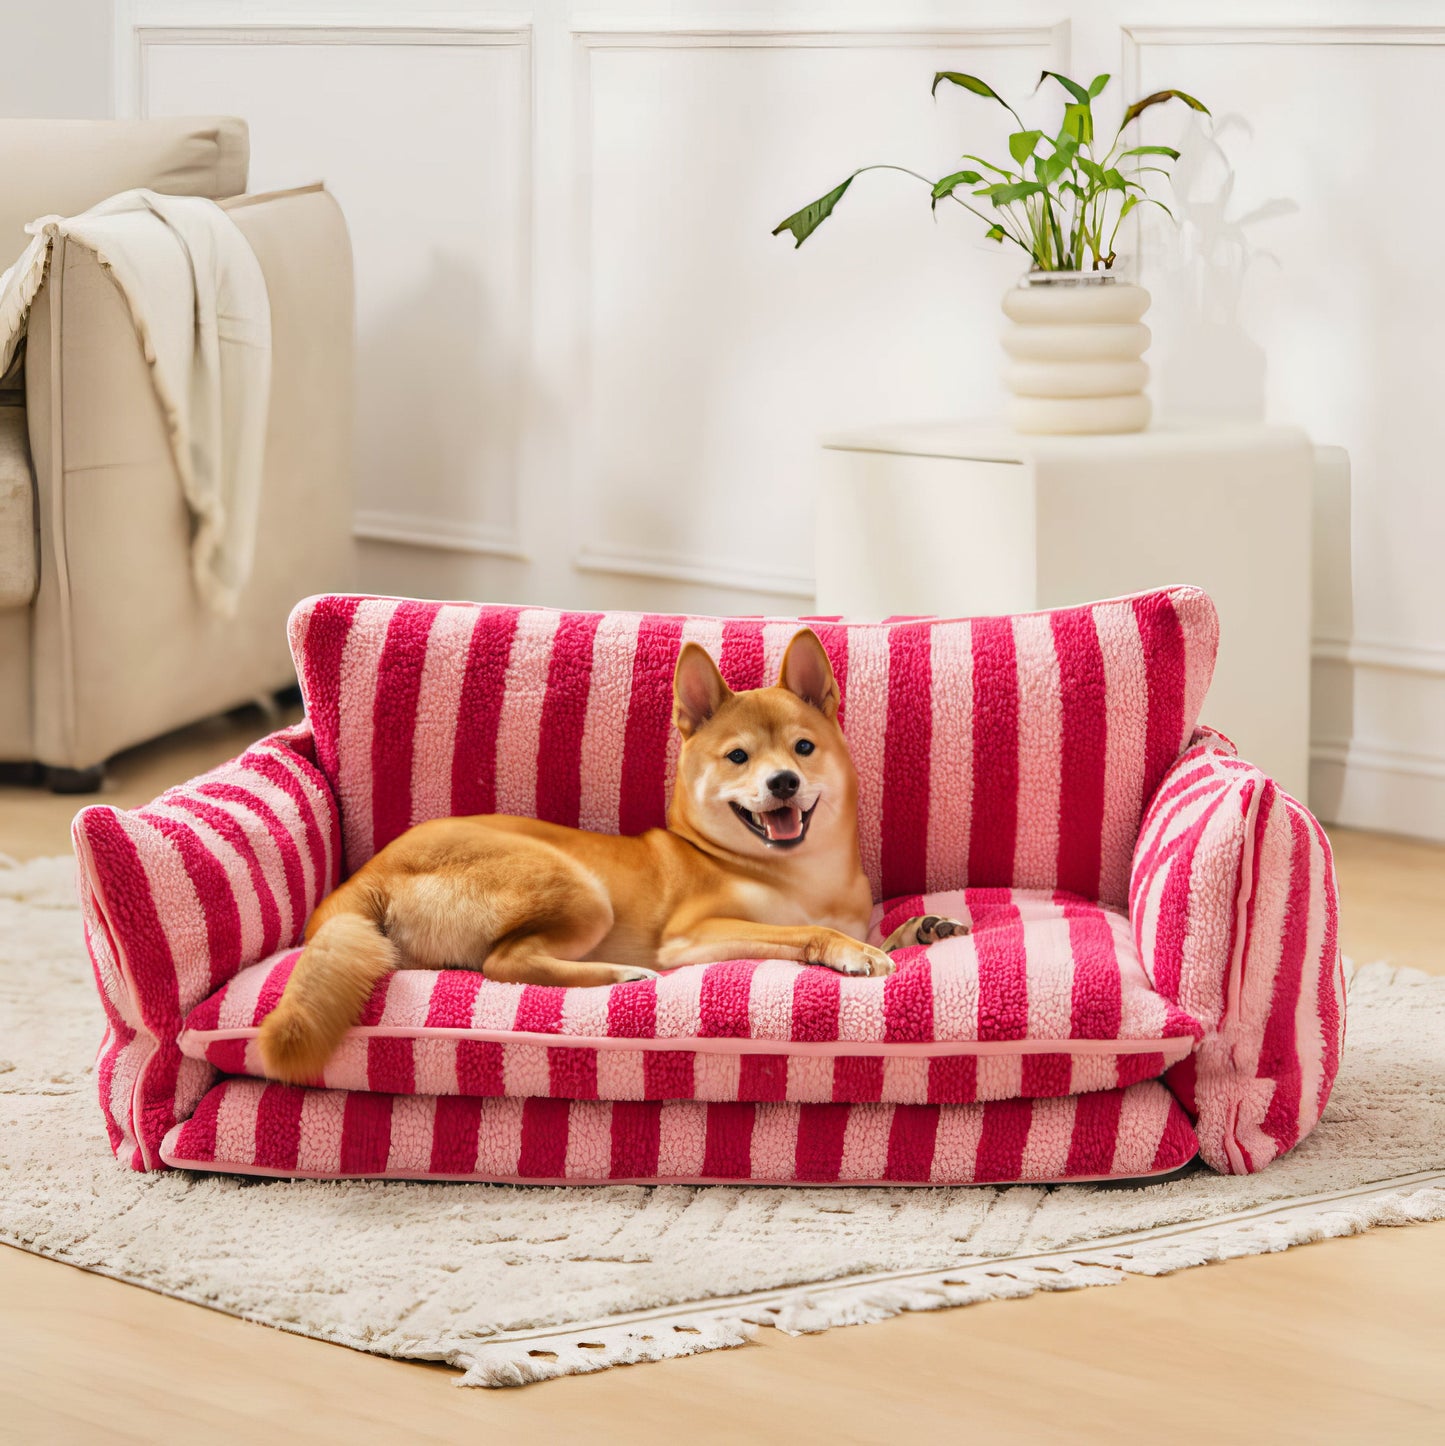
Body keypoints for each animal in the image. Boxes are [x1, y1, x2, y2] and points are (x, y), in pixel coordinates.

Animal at [254, 633, 966, 1087]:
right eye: (739, 757)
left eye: (803, 748)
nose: (784, 782)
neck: (800, 872)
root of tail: (361, 882)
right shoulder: (694, 935)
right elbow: (805, 932)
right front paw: (851, 953)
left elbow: (876, 930)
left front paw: (920, 929)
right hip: (576, 888)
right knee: (504, 962)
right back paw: (618, 975)